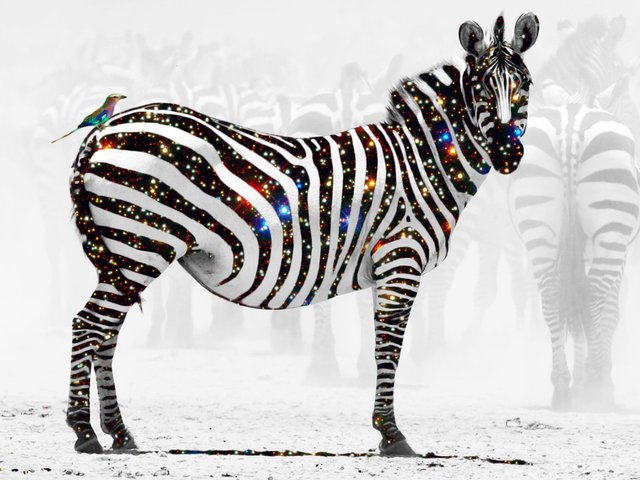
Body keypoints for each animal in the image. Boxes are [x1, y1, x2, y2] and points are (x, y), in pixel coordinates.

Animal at [63, 13, 539, 456]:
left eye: (526, 86)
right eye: (479, 89)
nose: (508, 153)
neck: (421, 161)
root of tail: (103, 130)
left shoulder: (384, 266)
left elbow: (380, 343)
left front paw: (384, 426)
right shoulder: (402, 257)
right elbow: (390, 346)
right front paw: (391, 434)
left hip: (123, 254)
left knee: (106, 331)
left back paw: (119, 432)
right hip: (139, 244)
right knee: (88, 324)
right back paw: (84, 432)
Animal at [508, 103, 639, 409]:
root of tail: (571, 122)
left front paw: (579, 379)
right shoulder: (621, 254)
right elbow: (610, 313)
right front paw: (592, 377)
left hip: (538, 223)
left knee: (552, 296)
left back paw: (562, 387)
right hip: (612, 226)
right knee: (593, 296)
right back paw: (599, 385)